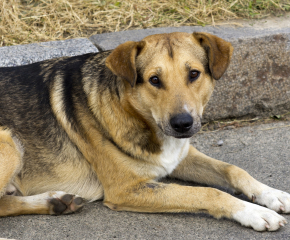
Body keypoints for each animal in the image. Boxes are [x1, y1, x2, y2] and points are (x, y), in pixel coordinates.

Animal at [0, 31, 288, 231]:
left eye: (194, 74)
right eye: (154, 80)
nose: (182, 123)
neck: (137, 115)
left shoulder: (177, 156)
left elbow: (233, 169)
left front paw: (271, 194)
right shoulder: (126, 189)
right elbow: (208, 192)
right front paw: (253, 212)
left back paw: (55, 202)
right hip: (9, 143)